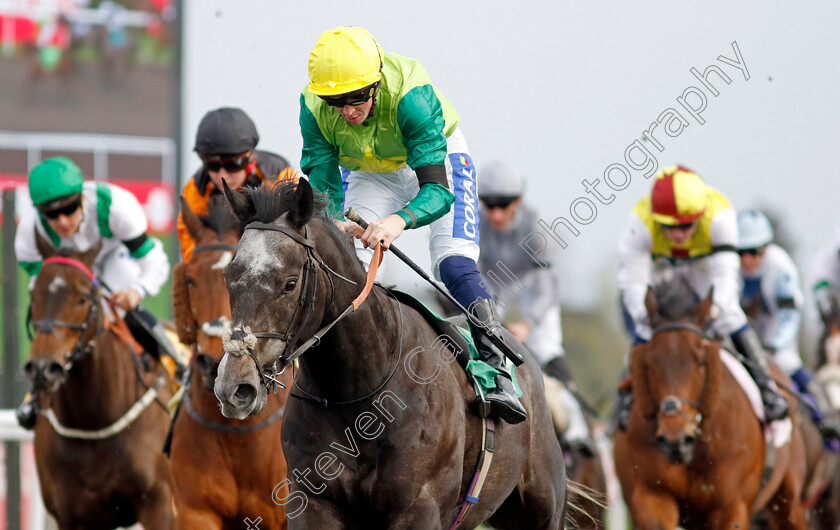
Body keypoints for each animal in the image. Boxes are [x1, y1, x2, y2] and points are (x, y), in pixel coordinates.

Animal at [24, 233, 174, 524]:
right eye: (33, 296)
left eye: (83, 298)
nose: (44, 369)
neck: (93, 418)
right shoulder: (71, 515)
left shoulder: (161, 504)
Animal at [213, 180, 568, 528]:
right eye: (229, 279)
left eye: (288, 283)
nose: (234, 387)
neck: (357, 396)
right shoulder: (313, 501)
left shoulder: (418, 507)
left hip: (544, 508)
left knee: (454, 258)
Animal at [612, 278, 808, 524]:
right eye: (647, 362)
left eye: (701, 361)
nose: (675, 439)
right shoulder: (650, 497)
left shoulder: (731, 507)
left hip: (788, 502)